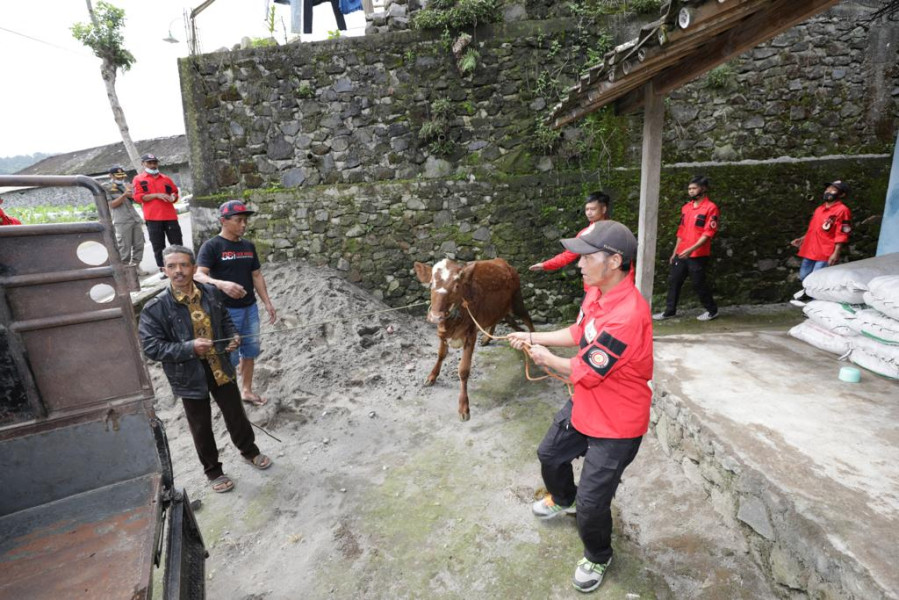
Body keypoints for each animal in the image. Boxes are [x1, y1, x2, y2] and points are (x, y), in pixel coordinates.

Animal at [414, 258, 536, 422]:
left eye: (456, 286)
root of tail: (501, 260)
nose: (435, 316)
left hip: (517, 301)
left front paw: (463, 407)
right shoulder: (442, 332)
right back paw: (488, 338)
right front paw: (432, 376)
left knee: (528, 320)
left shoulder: (470, 334)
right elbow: (440, 355)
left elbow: (463, 370)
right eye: (432, 283)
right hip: (499, 309)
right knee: (503, 320)